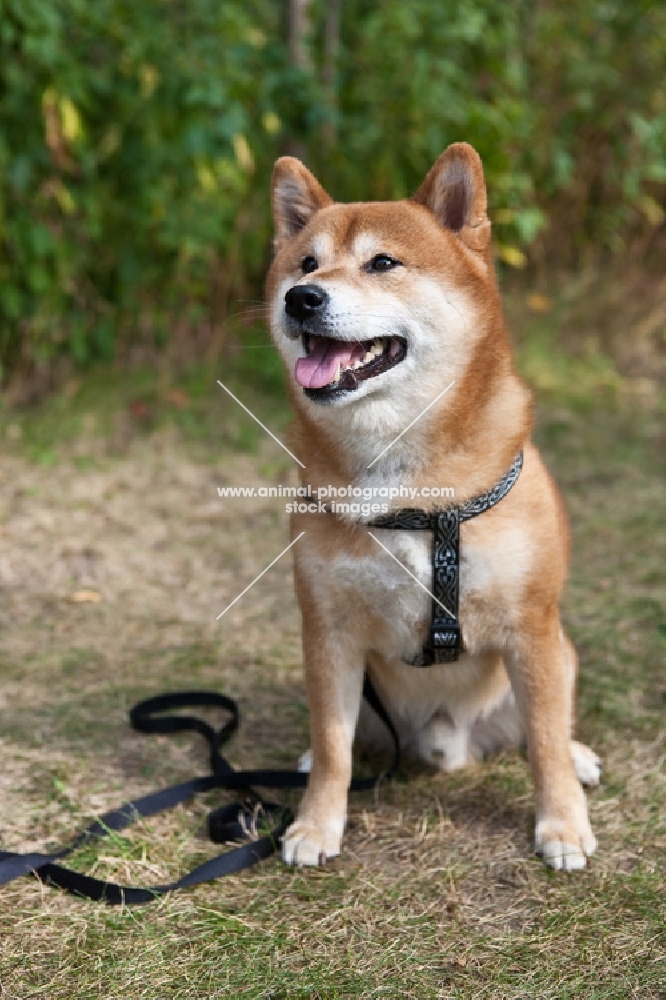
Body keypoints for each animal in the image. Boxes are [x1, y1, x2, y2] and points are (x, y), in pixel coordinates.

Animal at [268, 141, 600, 868]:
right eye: (305, 263)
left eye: (382, 263)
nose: (301, 298)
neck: (409, 489)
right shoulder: (328, 632)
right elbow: (334, 748)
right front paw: (316, 825)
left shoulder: (531, 629)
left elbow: (545, 745)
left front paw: (562, 826)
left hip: (557, 651)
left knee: (547, 726)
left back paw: (581, 757)